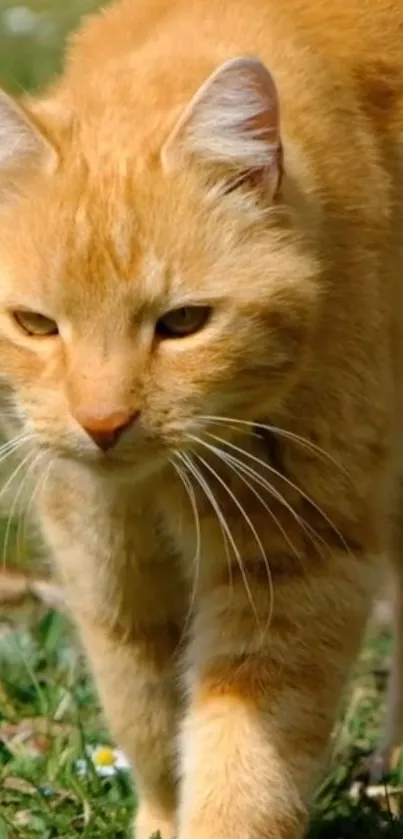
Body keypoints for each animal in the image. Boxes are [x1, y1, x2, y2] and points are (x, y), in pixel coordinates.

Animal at [0, 0, 403, 836]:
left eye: (183, 323)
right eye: (36, 325)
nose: (103, 422)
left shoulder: (297, 560)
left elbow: (245, 753)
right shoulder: (100, 553)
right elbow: (145, 703)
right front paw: (160, 814)